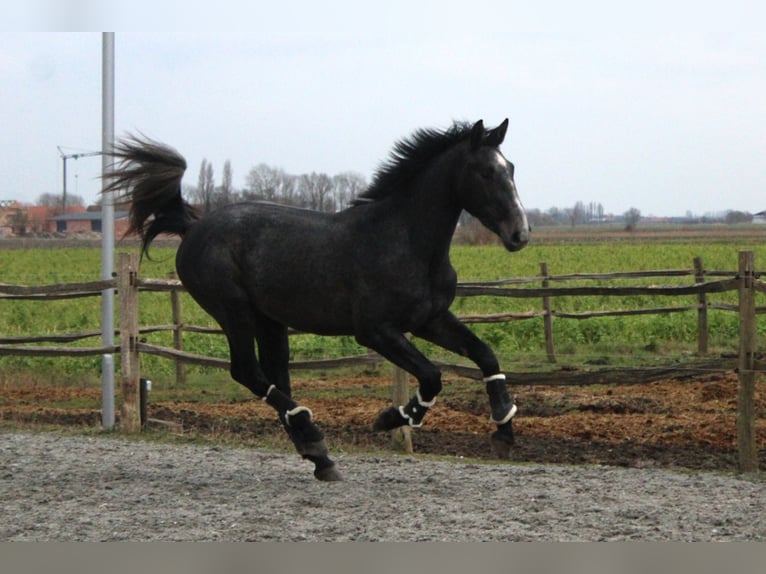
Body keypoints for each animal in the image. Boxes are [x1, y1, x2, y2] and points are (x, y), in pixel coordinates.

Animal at [106, 118, 528, 482]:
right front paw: (390, 418)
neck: (406, 241)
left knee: (274, 373)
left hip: (270, 321)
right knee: (247, 371)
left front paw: (504, 430)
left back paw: (318, 455)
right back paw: (313, 436)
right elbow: (431, 376)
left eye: (511, 168)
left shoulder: (430, 319)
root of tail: (193, 228)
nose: (520, 234)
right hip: (234, 311)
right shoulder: (376, 331)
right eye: (486, 172)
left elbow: (485, 354)